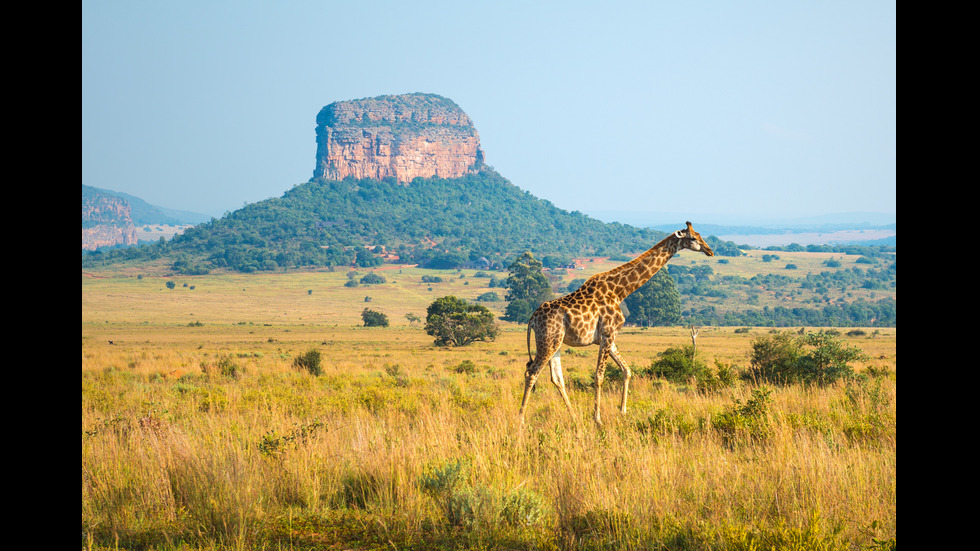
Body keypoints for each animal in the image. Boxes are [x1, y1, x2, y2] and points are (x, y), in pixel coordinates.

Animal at [520, 221, 712, 426]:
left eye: (700, 235)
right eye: (692, 238)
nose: (710, 251)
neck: (620, 291)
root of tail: (532, 318)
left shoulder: (609, 337)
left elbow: (626, 370)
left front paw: (623, 411)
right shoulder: (608, 334)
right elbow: (599, 376)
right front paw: (597, 419)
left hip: (556, 343)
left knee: (556, 378)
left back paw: (574, 417)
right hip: (548, 341)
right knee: (532, 373)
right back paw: (521, 419)